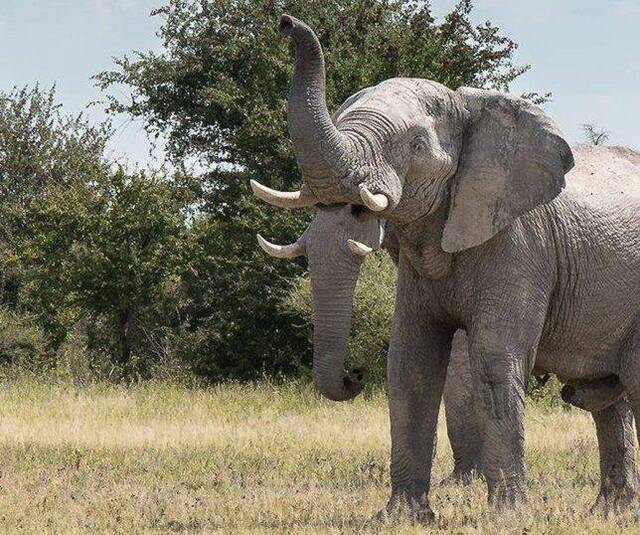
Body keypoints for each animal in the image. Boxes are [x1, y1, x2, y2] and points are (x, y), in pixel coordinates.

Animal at [252, 15, 640, 524]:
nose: (285, 22)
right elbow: (410, 364)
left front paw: (508, 519)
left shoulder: (520, 244)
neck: (470, 109)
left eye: (417, 146)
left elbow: (494, 361)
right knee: (609, 400)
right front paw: (403, 518)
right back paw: (611, 514)